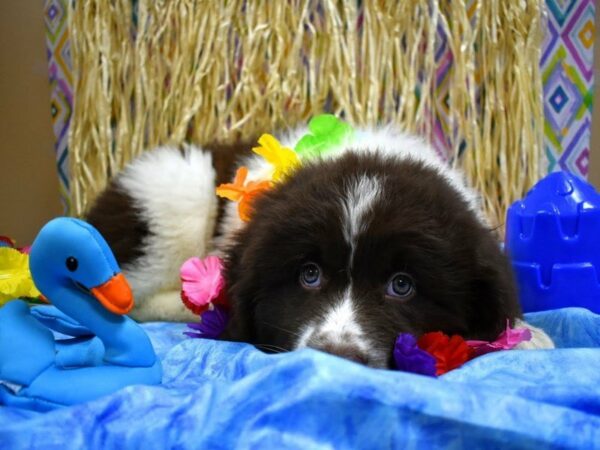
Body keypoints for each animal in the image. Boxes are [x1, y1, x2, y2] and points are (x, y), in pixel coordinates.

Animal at [85, 125, 552, 368]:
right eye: (309, 275)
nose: (337, 357)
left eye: (402, 285)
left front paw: (527, 337)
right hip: (175, 192)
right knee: (132, 294)